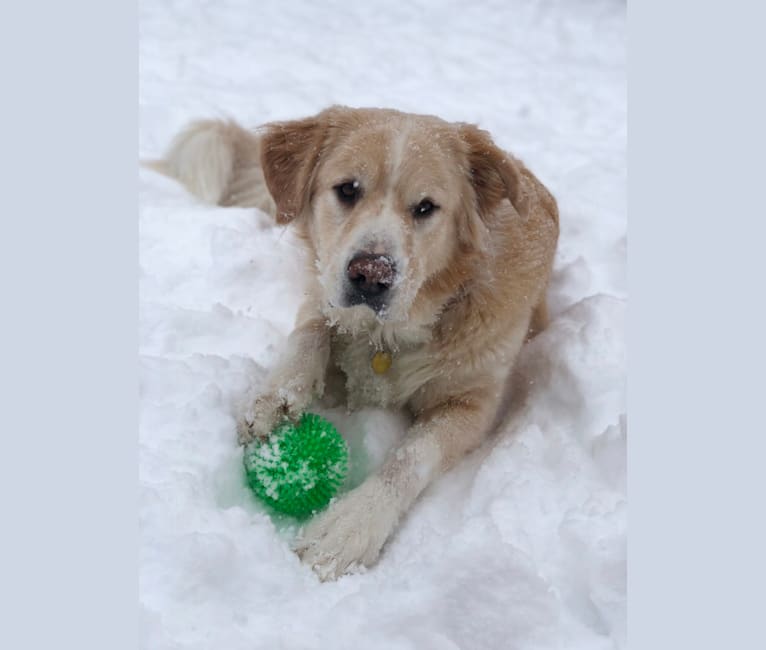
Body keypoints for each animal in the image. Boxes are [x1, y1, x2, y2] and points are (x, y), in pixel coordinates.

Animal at [148, 105, 560, 576]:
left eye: (425, 207)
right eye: (347, 189)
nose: (371, 274)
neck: (389, 334)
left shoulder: (472, 403)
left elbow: (412, 457)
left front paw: (350, 526)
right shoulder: (323, 293)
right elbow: (310, 331)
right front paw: (276, 397)